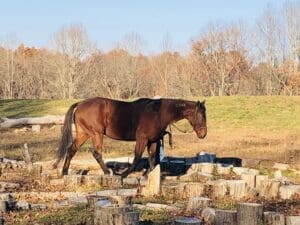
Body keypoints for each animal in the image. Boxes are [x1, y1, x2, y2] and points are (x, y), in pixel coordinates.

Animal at [52, 96, 206, 178]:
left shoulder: (153, 140)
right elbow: (137, 157)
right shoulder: (142, 139)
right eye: (201, 115)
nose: (203, 134)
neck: (158, 113)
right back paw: (108, 172)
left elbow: (152, 158)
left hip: (84, 134)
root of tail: (80, 104)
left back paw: (65, 172)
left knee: (71, 149)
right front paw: (125, 174)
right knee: (96, 153)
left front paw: (148, 173)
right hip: (96, 134)